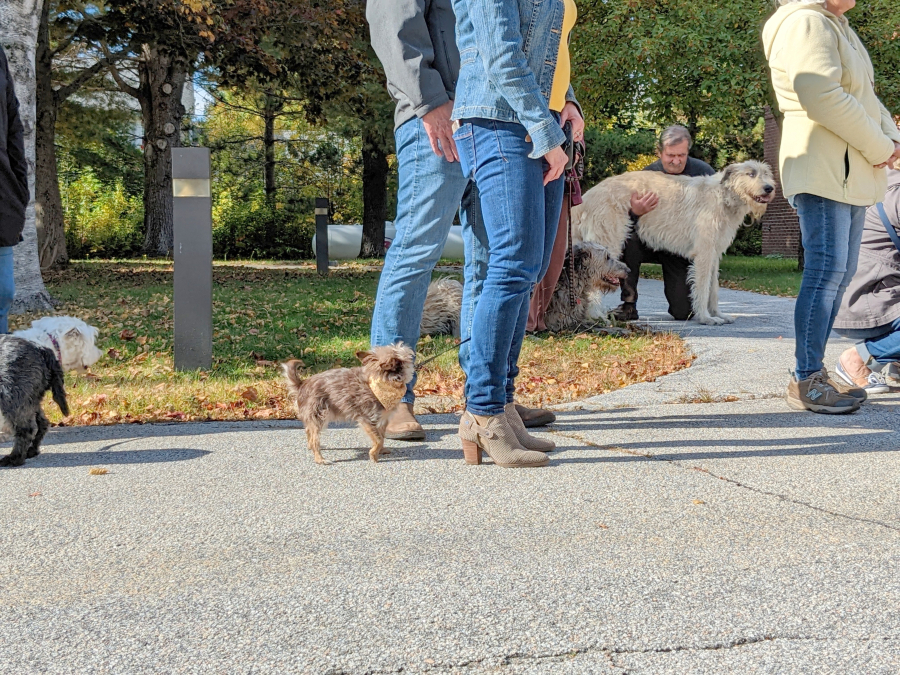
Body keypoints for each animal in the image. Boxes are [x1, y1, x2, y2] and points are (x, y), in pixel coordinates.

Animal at [0, 336, 70, 468]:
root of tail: (40, 348)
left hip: (13, 397)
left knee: (25, 429)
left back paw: (15, 458)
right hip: (31, 399)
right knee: (42, 423)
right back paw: (32, 450)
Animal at [576, 161, 772, 324]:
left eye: (766, 173)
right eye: (751, 173)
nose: (769, 188)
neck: (724, 196)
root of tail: (587, 197)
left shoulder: (714, 253)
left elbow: (714, 288)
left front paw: (718, 314)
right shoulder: (704, 253)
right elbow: (702, 287)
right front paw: (706, 318)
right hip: (608, 240)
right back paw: (595, 315)